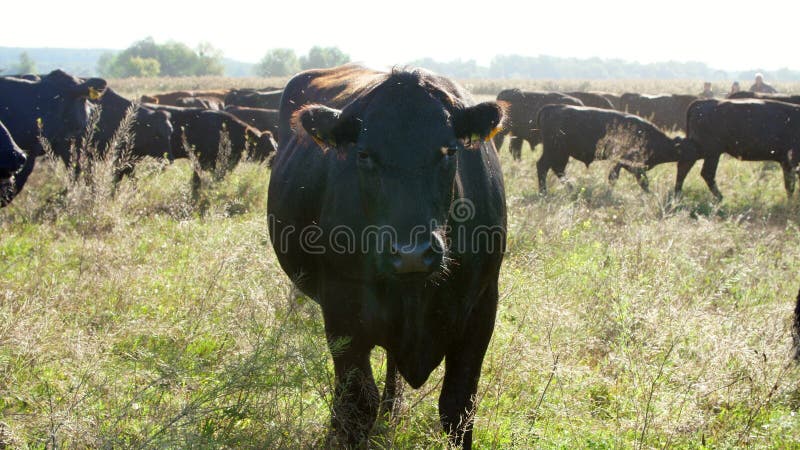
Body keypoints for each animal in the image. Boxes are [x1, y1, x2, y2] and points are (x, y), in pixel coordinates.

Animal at [268, 65, 506, 448]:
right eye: (364, 155)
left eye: (449, 151)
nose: (412, 255)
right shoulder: (343, 315)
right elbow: (357, 404)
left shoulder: (482, 309)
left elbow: (458, 408)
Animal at [536, 104, 692, 192]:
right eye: (686, 148)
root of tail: (550, 108)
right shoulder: (626, 163)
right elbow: (633, 179)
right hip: (555, 151)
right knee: (544, 167)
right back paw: (545, 193)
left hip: (560, 153)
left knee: (557, 169)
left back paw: (570, 190)